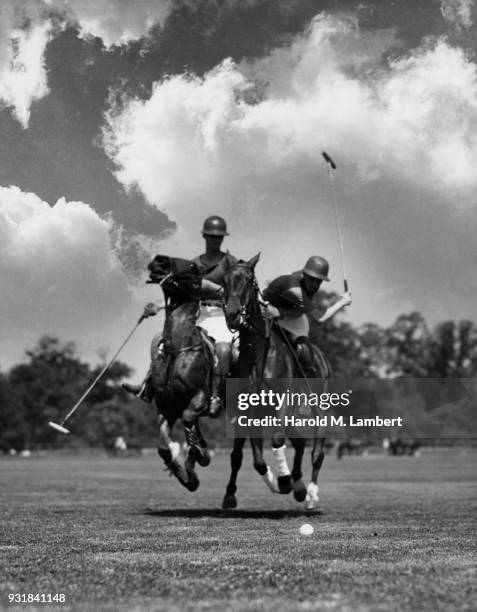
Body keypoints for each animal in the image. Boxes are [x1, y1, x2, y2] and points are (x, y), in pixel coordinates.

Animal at [146, 255, 217, 492]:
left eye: (192, 266)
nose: (158, 261)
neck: (178, 349)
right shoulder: (167, 407)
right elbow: (163, 447)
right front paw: (185, 476)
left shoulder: (199, 399)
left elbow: (191, 433)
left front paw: (200, 457)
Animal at [220, 255, 330, 512]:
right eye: (225, 280)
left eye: (249, 281)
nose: (233, 314)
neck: (257, 352)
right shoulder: (248, 411)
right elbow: (250, 458)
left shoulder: (283, 402)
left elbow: (277, 441)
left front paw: (284, 480)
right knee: (299, 443)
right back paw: (299, 487)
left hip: (319, 409)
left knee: (316, 452)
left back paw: (310, 494)